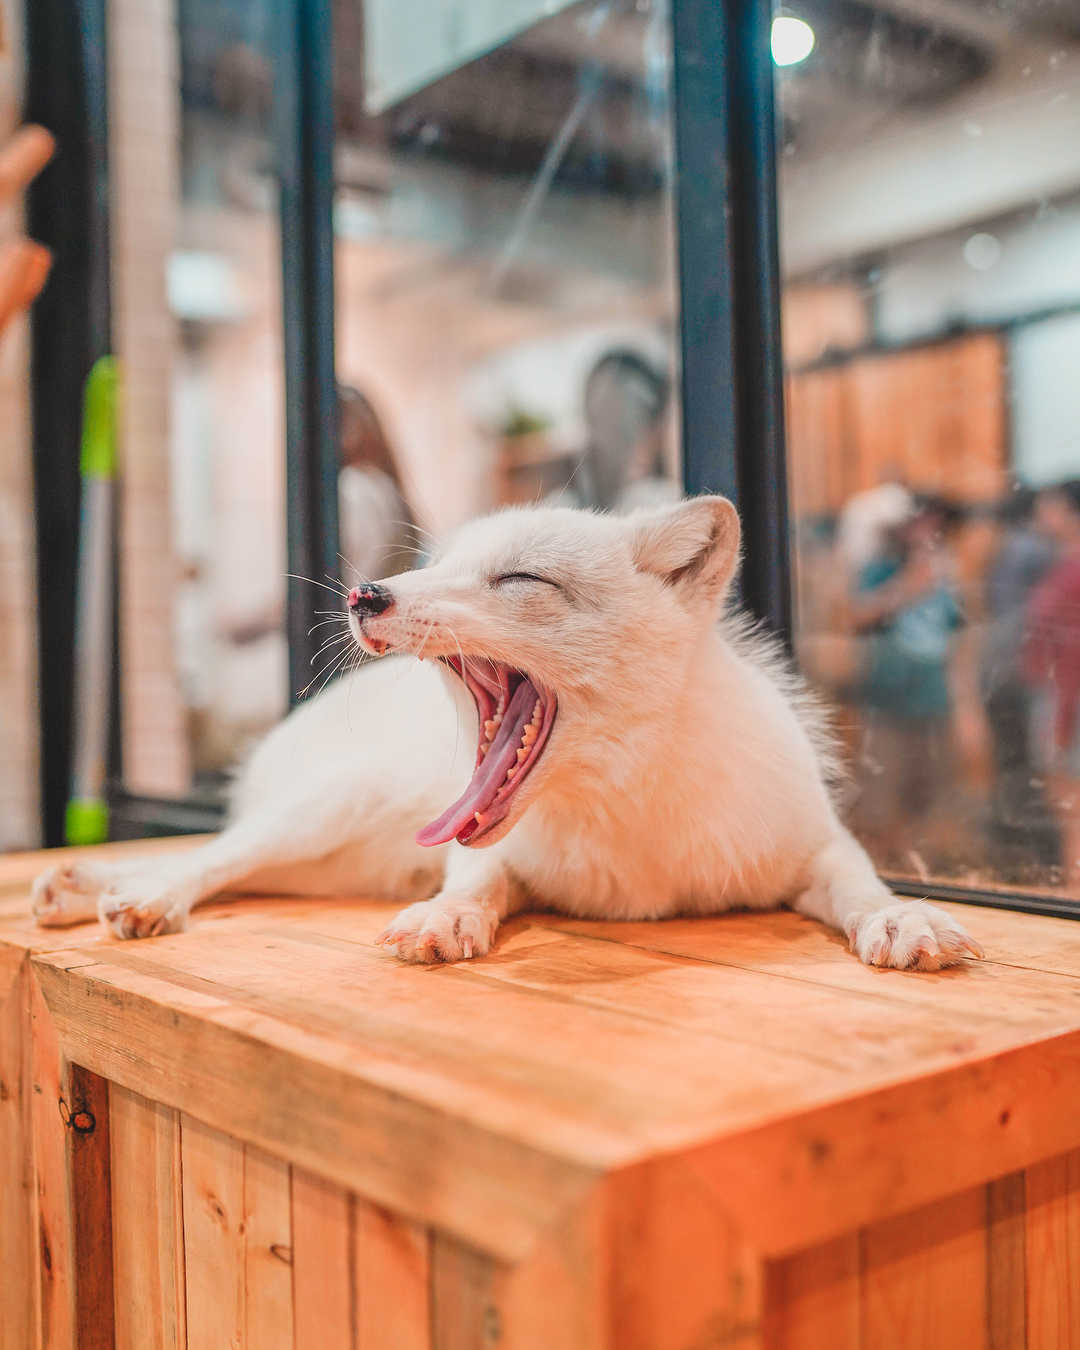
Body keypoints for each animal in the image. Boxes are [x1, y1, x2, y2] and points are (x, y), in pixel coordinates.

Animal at [31, 496, 977, 972]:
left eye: (520, 579)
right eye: (438, 565)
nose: (365, 594)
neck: (629, 828)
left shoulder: (815, 844)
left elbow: (862, 885)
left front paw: (904, 919)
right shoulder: (485, 853)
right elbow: (475, 880)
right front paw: (449, 917)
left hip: (335, 861)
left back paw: (86, 888)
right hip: (326, 817)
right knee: (210, 858)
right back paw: (129, 895)